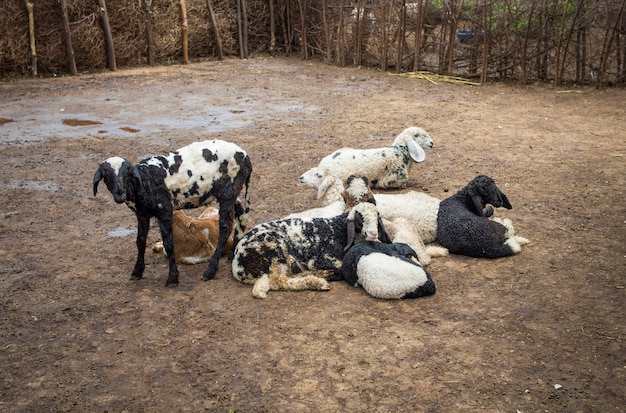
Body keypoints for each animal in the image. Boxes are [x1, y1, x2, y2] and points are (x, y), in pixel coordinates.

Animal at [91, 138, 251, 284]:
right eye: (105, 174)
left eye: (127, 173)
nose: (119, 193)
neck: (145, 180)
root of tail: (245, 156)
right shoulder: (142, 214)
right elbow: (140, 241)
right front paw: (137, 271)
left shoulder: (165, 210)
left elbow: (168, 243)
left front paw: (173, 277)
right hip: (232, 193)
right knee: (240, 214)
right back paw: (231, 254)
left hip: (228, 193)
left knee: (225, 227)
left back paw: (210, 271)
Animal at [232, 201, 390, 298]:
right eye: (360, 219)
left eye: (377, 218)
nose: (373, 233)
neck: (338, 230)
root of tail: (238, 267)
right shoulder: (320, 258)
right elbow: (341, 267)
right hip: (274, 253)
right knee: (280, 281)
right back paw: (319, 282)